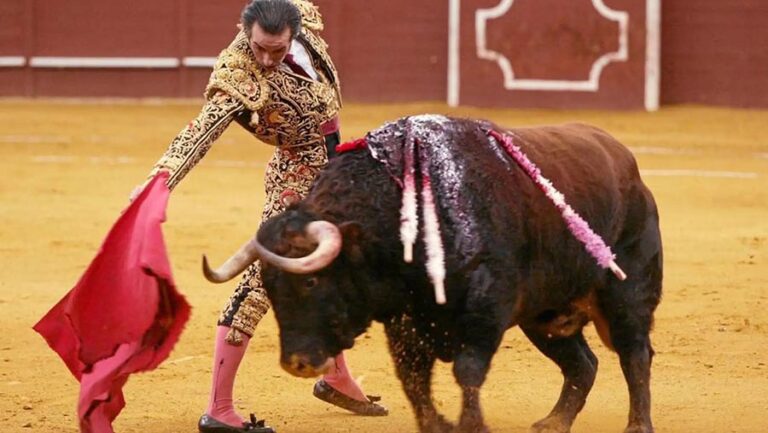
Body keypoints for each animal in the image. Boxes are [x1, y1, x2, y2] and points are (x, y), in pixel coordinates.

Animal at [202, 115, 660, 432]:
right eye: (270, 287)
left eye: (312, 280)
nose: (296, 362)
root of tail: (628, 164)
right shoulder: (406, 324)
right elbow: (414, 382)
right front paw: (437, 424)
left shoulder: (485, 310)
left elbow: (467, 371)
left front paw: (471, 425)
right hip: (544, 316)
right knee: (583, 364)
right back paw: (554, 422)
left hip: (626, 294)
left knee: (635, 354)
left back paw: (637, 424)